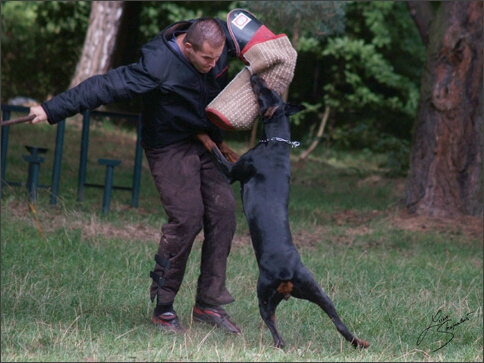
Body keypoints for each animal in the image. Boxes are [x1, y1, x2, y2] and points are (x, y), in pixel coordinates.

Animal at [202, 74, 368, 350]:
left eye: (264, 92)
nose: (255, 76)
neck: (276, 142)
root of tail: (287, 273)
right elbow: (227, 149)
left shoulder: (232, 173)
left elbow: (213, 146)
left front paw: (201, 133)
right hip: (318, 293)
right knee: (339, 323)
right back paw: (360, 342)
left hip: (264, 294)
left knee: (276, 333)